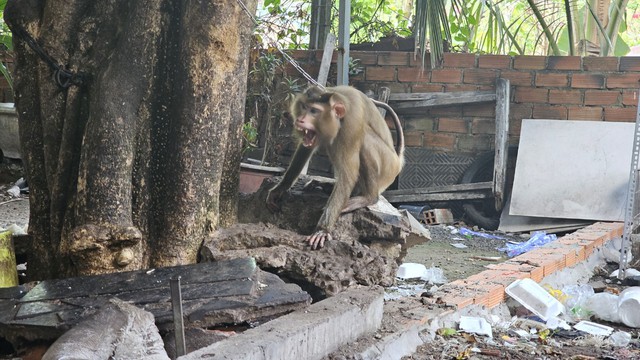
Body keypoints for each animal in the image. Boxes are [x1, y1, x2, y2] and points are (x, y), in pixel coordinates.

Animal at [266, 86, 404, 250]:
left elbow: (348, 173)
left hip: (387, 167)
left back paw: (368, 197)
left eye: (314, 111)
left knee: (364, 137)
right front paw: (280, 188)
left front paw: (322, 230)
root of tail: (398, 160)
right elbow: (306, 147)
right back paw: (326, 185)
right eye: (304, 107)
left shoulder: (351, 123)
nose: (300, 119)